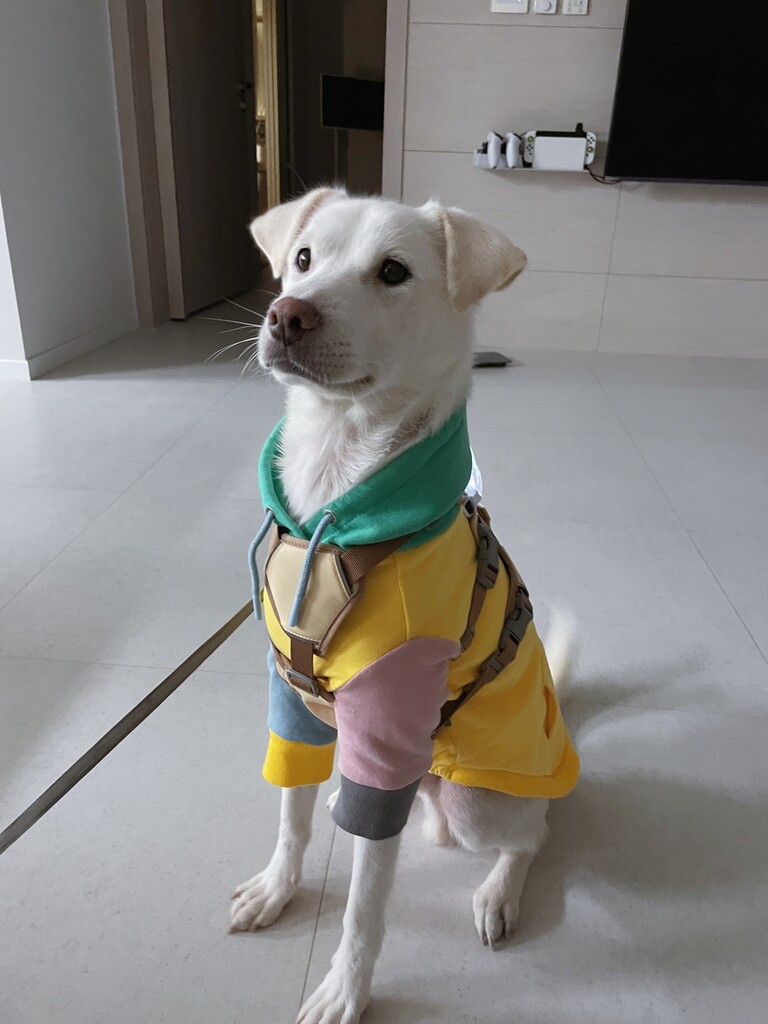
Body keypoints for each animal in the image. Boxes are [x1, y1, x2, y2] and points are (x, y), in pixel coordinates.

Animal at [229, 189, 578, 1024]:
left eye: (393, 272)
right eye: (302, 259)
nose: (287, 314)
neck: (334, 488)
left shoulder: (387, 732)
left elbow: (363, 908)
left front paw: (346, 989)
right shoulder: (291, 703)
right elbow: (290, 818)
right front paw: (278, 889)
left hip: (479, 798)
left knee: (533, 832)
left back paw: (498, 893)